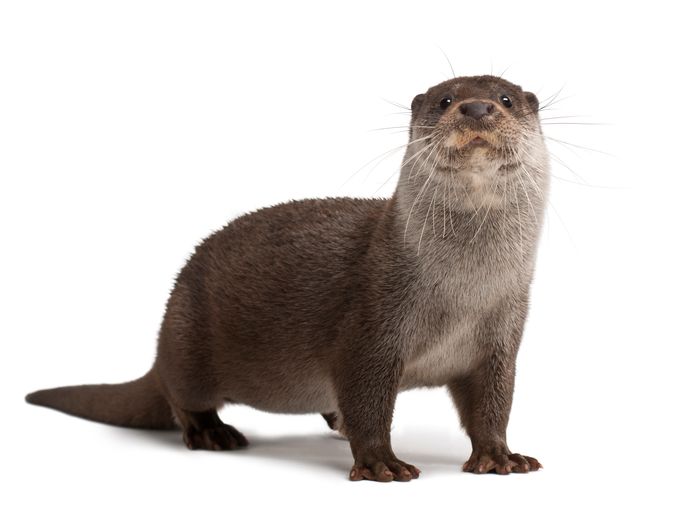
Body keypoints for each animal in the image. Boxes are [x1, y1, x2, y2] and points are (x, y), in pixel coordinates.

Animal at [26, 75, 548, 482]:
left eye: (506, 98)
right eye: (445, 99)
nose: (476, 107)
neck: (462, 295)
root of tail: (161, 346)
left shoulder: (501, 337)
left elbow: (492, 404)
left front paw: (501, 456)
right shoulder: (371, 321)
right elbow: (366, 398)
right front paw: (381, 463)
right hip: (187, 335)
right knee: (181, 396)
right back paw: (212, 433)